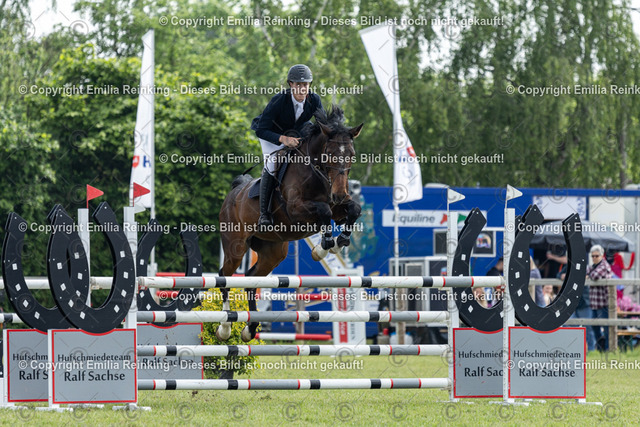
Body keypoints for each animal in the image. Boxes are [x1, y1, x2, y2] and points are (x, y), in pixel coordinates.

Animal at [217, 106, 363, 342]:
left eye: (351, 154)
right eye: (330, 154)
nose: (340, 194)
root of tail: (234, 192)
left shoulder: (338, 208)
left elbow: (354, 210)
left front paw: (337, 243)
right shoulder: (296, 210)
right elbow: (323, 211)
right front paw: (322, 249)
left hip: (273, 252)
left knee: (250, 278)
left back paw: (250, 328)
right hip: (235, 247)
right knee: (225, 276)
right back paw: (225, 327)